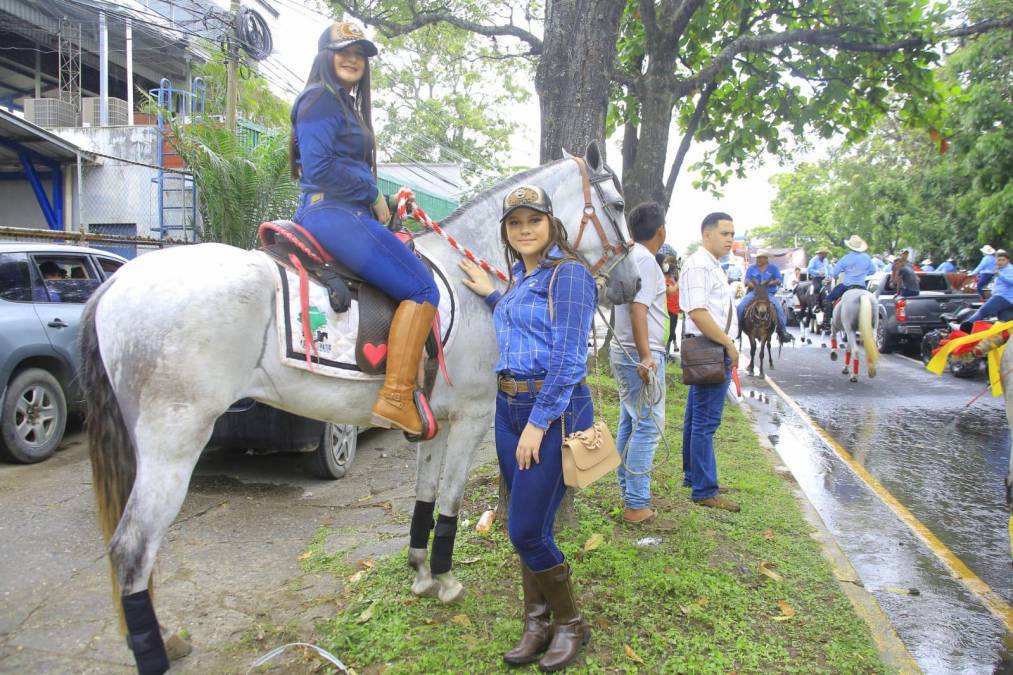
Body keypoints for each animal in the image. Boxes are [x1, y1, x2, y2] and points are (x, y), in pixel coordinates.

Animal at [79, 138, 636, 668]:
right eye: (618, 204)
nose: (630, 282)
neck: (469, 279)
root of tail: (116, 282)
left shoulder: (434, 420)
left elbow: (425, 496)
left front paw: (420, 572)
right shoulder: (472, 417)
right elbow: (451, 500)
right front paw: (445, 580)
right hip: (173, 445)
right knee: (132, 548)